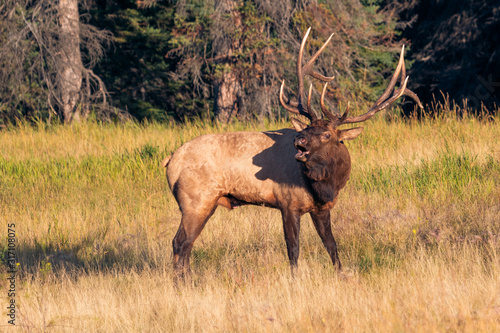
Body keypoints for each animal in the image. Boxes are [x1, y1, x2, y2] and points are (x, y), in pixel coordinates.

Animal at [164, 27, 422, 278]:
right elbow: (293, 248)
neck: (326, 186)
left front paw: (341, 275)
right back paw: (181, 284)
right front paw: (294, 280)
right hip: (197, 199)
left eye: (327, 135)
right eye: (307, 128)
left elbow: (331, 245)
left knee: (185, 245)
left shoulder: (321, 208)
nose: (299, 140)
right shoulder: (287, 203)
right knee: (180, 243)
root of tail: (170, 161)